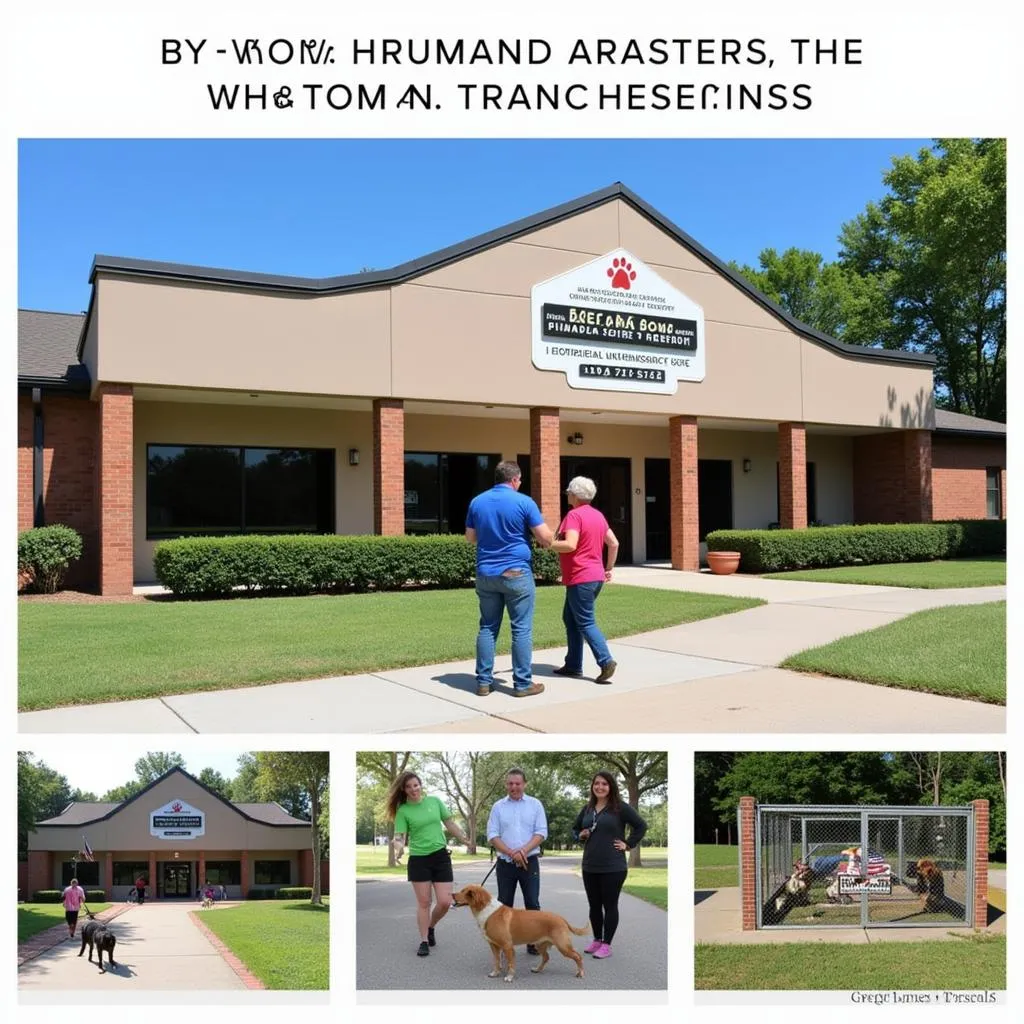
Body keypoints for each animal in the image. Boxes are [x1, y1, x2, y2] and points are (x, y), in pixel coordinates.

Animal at [452, 880, 589, 983]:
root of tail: (562, 919)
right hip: (540, 945)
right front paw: (495, 973)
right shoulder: (494, 946)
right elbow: (496, 961)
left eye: (466, 892)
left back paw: (581, 973)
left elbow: (511, 964)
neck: (488, 911)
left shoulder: (507, 946)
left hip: (563, 946)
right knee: (546, 957)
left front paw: (509, 977)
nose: (452, 894)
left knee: (578, 956)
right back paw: (537, 969)